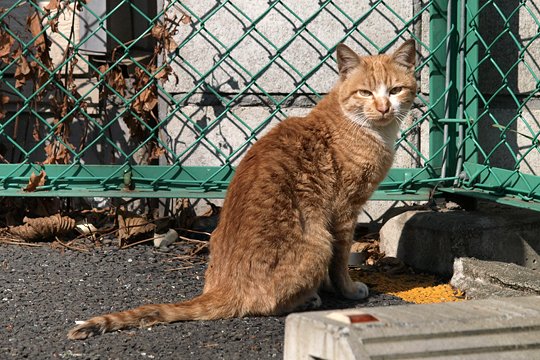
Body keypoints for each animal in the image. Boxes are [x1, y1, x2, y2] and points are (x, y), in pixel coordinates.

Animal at [67, 40, 418, 340]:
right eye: (365, 92)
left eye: (396, 90)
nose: (384, 107)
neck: (363, 128)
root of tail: (222, 288)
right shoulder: (345, 211)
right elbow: (341, 261)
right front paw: (346, 290)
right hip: (319, 242)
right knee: (269, 305)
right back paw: (308, 300)